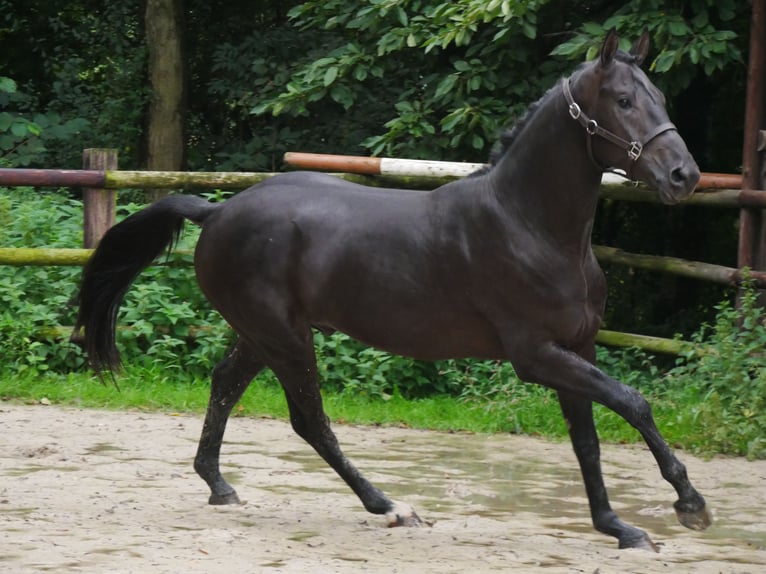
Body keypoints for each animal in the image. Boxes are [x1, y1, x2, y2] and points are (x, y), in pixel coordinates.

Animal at [73, 31, 712, 552]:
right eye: (623, 101)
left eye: (659, 96)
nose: (685, 176)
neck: (529, 224)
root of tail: (218, 211)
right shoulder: (536, 356)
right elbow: (633, 402)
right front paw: (690, 504)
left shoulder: (577, 348)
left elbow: (588, 440)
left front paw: (618, 528)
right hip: (285, 337)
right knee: (309, 420)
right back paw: (390, 506)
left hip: (260, 334)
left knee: (225, 385)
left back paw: (220, 485)